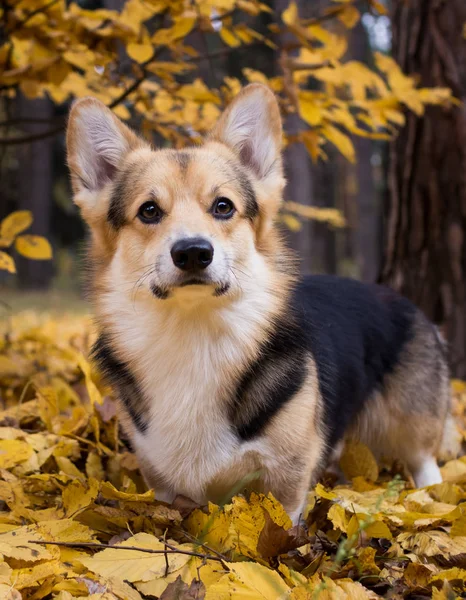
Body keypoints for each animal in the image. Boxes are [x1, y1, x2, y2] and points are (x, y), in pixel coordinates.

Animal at [66, 82, 452, 524]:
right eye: (149, 211)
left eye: (223, 206)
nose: (193, 252)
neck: (194, 335)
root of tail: (407, 303)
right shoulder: (163, 484)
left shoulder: (286, 480)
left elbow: (283, 525)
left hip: (414, 424)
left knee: (426, 466)